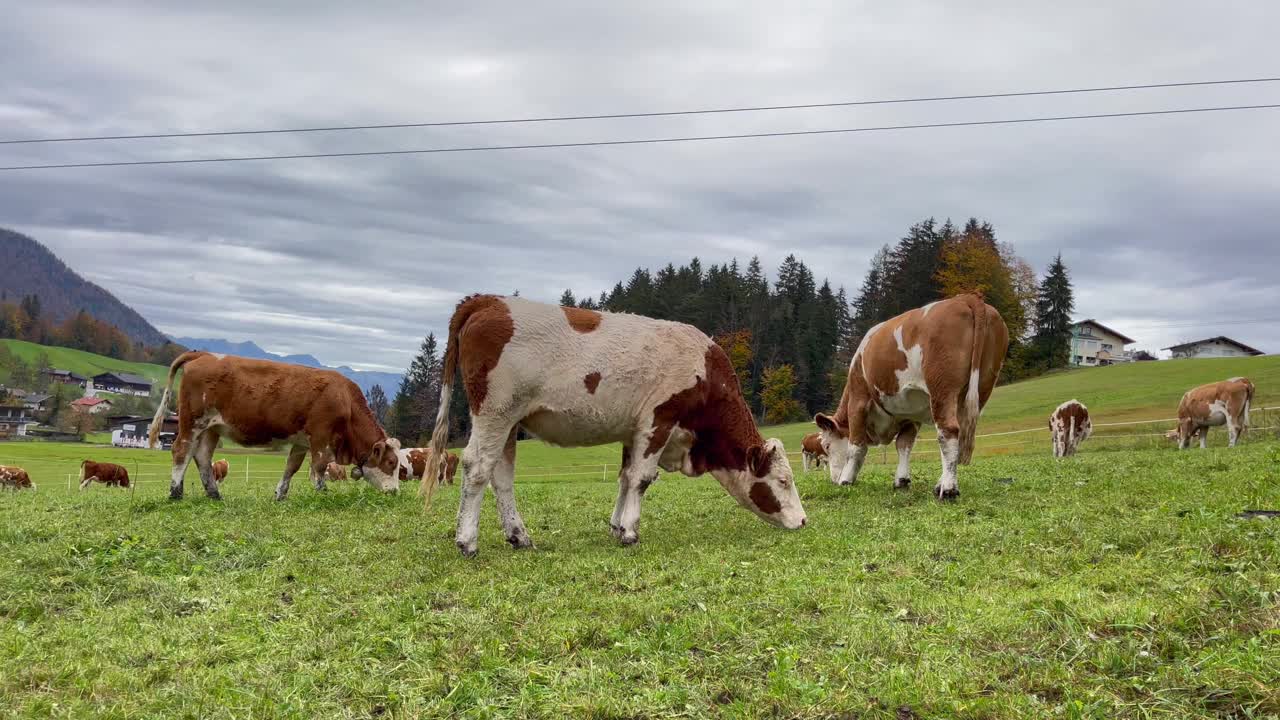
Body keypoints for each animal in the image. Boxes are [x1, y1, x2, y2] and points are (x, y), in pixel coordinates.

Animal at [147, 348, 401, 499]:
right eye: (390, 462)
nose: (396, 491)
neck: (345, 400)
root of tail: (204, 354)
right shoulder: (321, 438)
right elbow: (319, 467)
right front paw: (322, 493)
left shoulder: (302, 441)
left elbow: (292, 467)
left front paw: (280, 494)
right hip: (193, 421)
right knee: (181, 451)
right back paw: (175, 493)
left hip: (212, 428)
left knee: (201, 456)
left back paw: (214, 494)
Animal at [414, 293, 803, 556]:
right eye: (783, 480)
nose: (803, 521)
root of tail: (488, 300)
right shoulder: (658, 420)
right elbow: (642, 479)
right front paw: (630, 532)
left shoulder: (633, 431)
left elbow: (625, 477)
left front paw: (617, 526)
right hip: (495, 411)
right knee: (477, 467)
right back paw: (467, 540)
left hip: (510, 422)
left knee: (502, 476)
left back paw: (518, 536)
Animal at [808, 293, 1008, 499]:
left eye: (827, 445)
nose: (833, 480)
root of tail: (966, 298)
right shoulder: (911, 415)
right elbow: (903, 445)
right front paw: (901, 480)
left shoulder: (858, 400)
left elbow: (856, 447)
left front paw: (846, 480)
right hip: (982, 385)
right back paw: (940, 484)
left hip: (942, 388)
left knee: (948, 432)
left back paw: (948, 489)